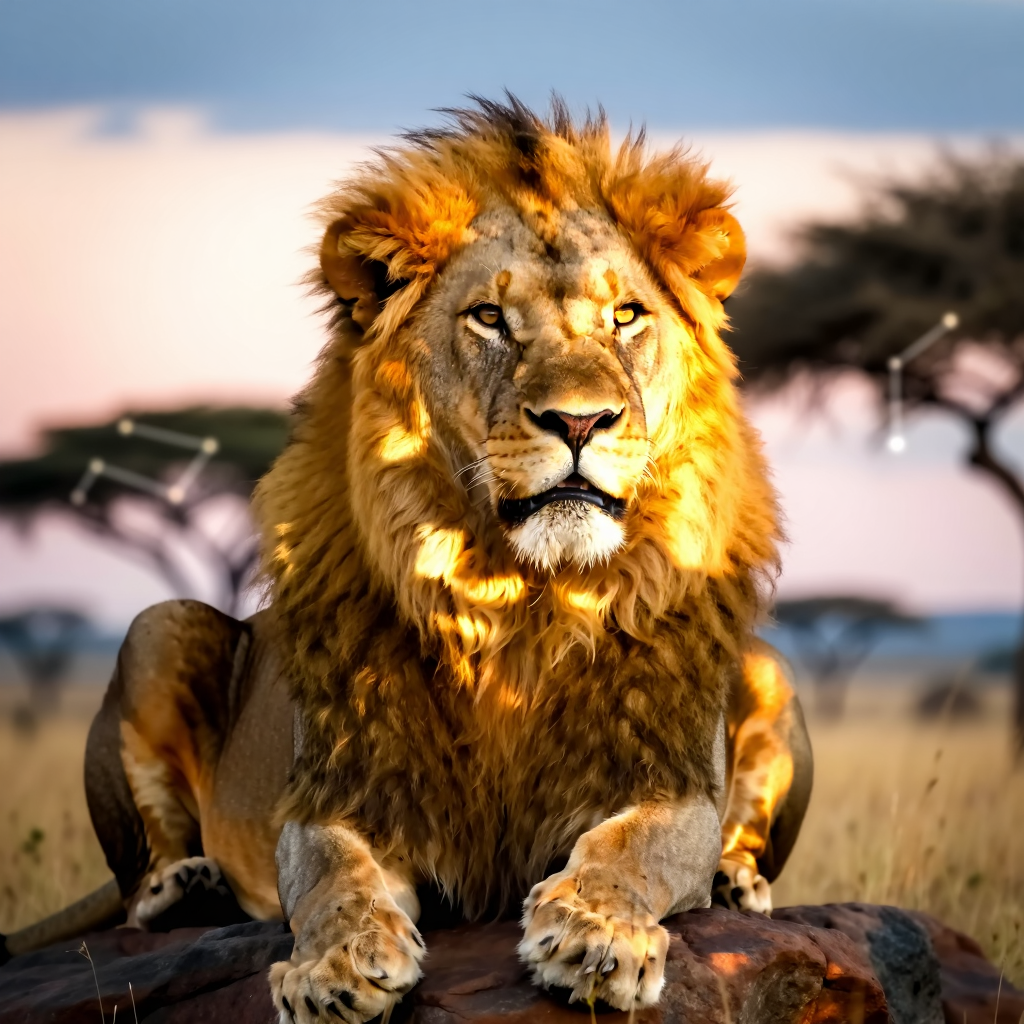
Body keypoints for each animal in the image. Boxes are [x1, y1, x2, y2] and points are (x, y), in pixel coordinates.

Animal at [3, 97, 812, 1021]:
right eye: (490, 318)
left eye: (626, 317)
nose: (579, 421)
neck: (526, 599)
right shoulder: (341, 788)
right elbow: (333, 879)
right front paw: (336, 967)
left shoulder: (669, 784)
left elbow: (633, 847)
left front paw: (594, 935)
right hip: (157, 627)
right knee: (140, 880)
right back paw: (187, 887)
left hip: (768, 665)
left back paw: (737, 881)